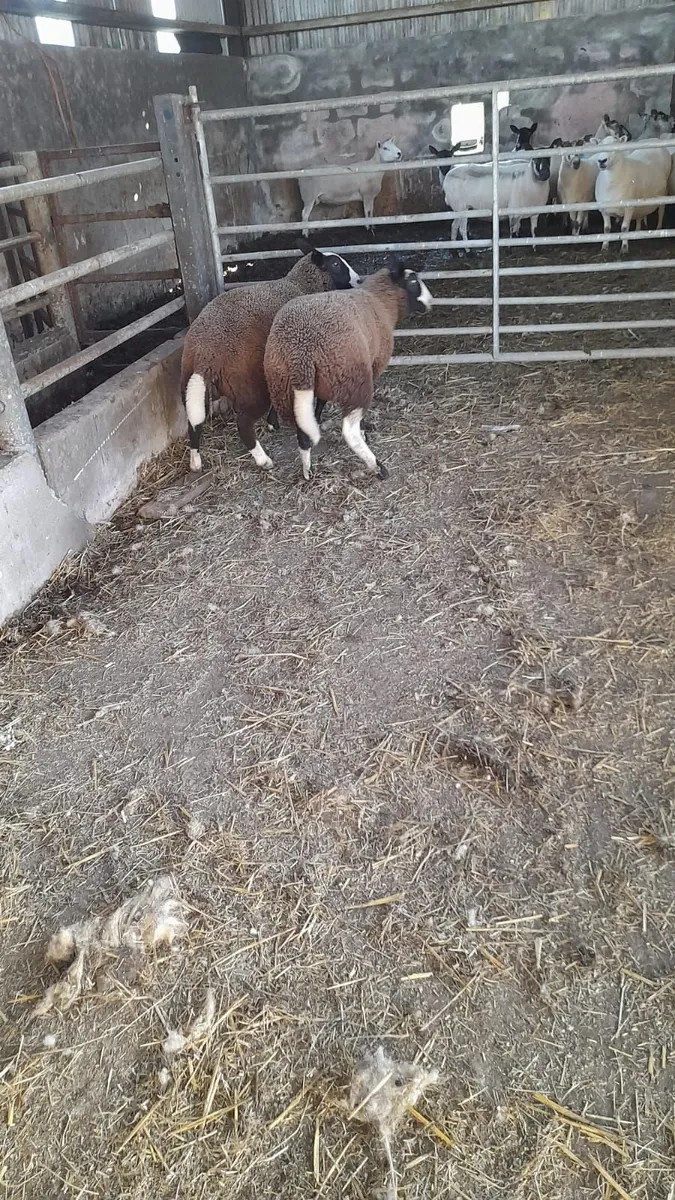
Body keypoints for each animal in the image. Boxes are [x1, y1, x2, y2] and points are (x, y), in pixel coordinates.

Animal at [180, 244, 360, 472]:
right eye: (335, 264)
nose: (359, 280)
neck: (301, 286)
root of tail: (205, 354)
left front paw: (273, 423)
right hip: (248, 386)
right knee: (243, 424)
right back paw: (263, 460)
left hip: (189, 383)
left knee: (193, 422)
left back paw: (195, 461)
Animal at [263, 255, 432, 481]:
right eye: (413, 282)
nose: (430, 302)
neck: (380, 301)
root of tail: (300, 350)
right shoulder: (372, 365)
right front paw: (365, 428)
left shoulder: (326, 380)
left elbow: (320, 403)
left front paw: (317, 419)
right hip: (354, 378)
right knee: (349, 431)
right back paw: (376, 466)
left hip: (282, 381)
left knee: (302, 434)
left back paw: (308, 471)